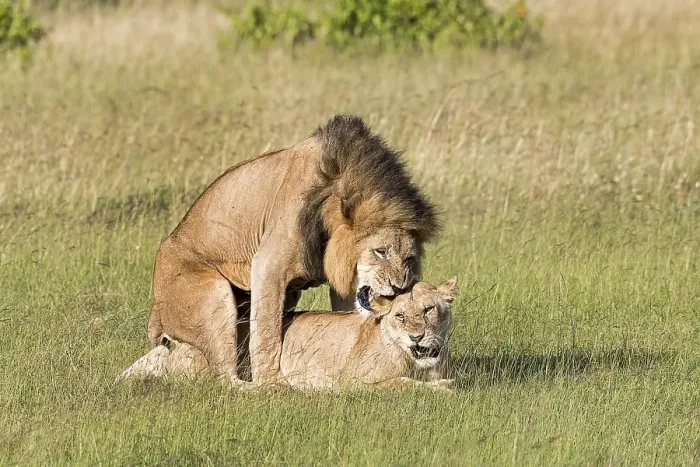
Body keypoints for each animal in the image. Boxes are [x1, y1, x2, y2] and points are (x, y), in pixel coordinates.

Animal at [118, 279, 457, 391]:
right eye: (400, 316)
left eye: (428, 310)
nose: (416, 337)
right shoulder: (356, 382)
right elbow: (403, 384)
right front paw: (442, 389)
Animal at [145, 114, 440, 388]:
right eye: (380, 252)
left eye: (410, 259)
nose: (399, 287)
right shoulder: (267, 266)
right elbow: (267, 333)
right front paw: (273, 382)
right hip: (214, 300)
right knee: (226, 378)